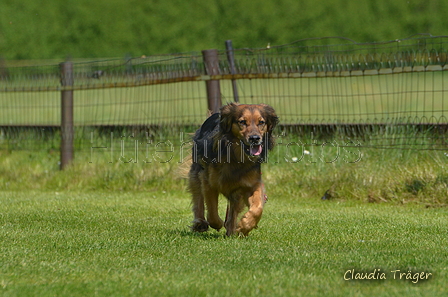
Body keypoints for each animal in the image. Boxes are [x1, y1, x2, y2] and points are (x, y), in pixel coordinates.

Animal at [188, 102, 276, 236]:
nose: (255, 138)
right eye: (242, 122)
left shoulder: (252, 184)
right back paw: (201, 223)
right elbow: (212, 210)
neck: (236, 157)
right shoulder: (208, 181)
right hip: (197, 171)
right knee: (198, 196)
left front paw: (245, 226)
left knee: (233, 207)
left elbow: (257, 208)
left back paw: (231, 229)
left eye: (261, 122)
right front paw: (217, 223)